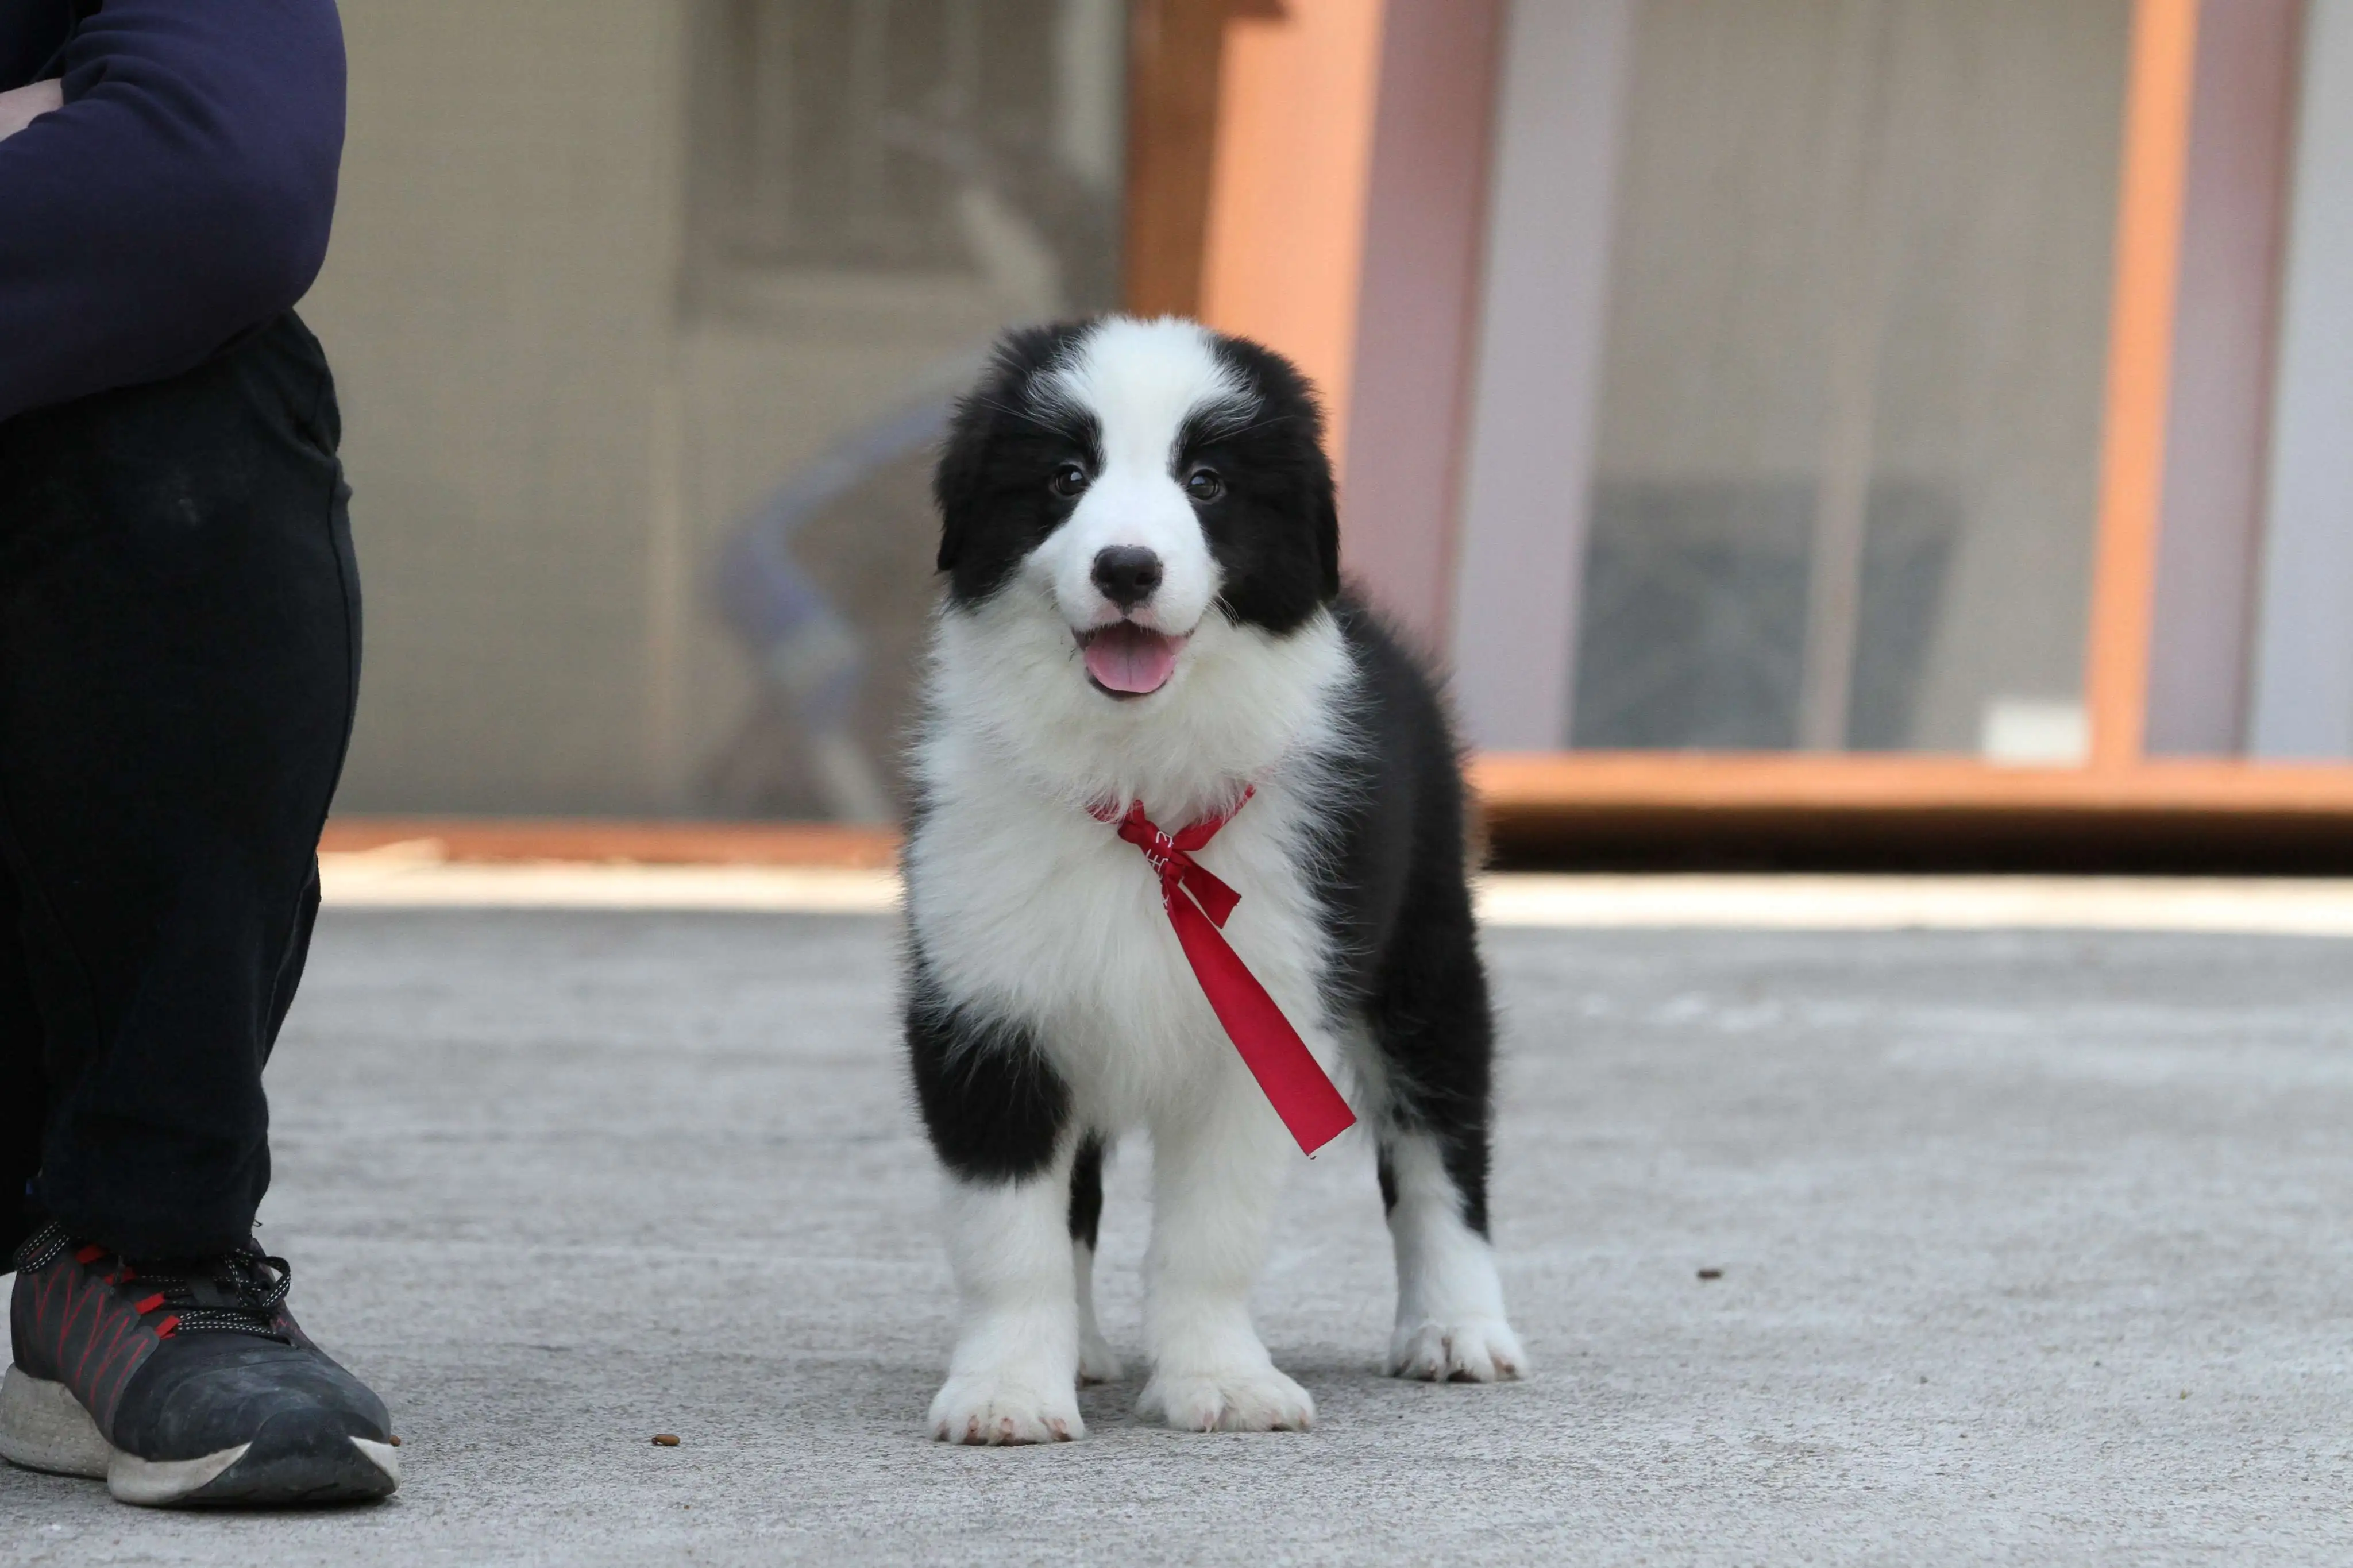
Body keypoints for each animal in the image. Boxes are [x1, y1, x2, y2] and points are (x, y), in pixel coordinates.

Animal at [898, 310, 1525, 1448]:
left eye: (1209, 482)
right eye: (1065, 476)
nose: (1128, 568)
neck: (1139, 795)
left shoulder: (1263, 1021)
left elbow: (1212, 1234)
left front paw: (1222, 1384)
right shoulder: (989, 1008)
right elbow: (1012, 1233)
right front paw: (1009, 1390)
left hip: (1425, 955)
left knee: (1443, 1145)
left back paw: (1458, 1330)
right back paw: (1083, 1348)